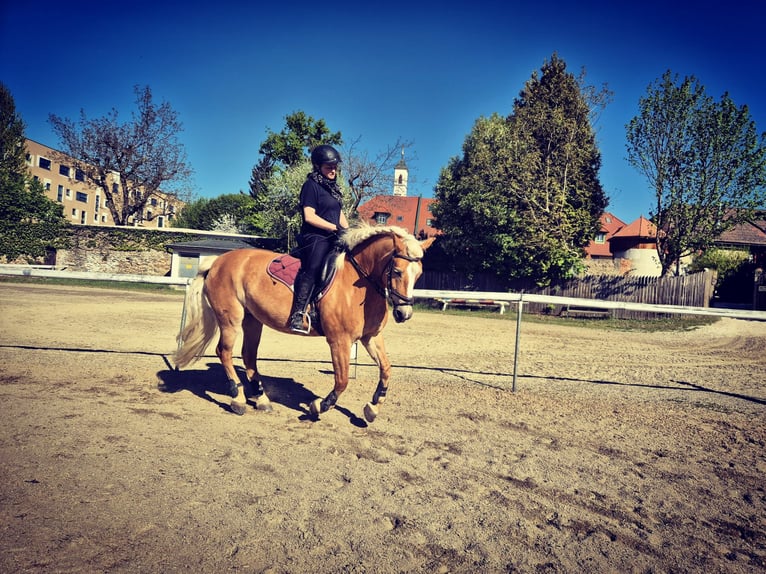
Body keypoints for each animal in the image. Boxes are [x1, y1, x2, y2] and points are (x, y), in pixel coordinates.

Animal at [173, 224, 435, 423]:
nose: (404, 313)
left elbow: (386, 369)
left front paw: (373, 407)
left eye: (419, 274)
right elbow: (342, 380)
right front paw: (319, 406)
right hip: (231, 319)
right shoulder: (339, 340)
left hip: (252, 320)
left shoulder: (370, 337)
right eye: (397, 271)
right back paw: (237, 399)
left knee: (248, 356)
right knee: (224, 352)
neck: (359, 284)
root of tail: (216, 262)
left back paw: (261, 399)